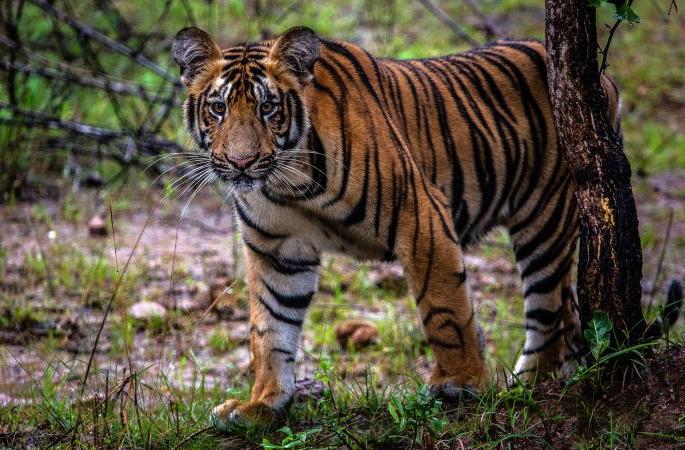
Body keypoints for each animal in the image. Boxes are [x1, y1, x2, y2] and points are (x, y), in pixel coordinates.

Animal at [171, 26, 621, 427]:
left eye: (268, 108)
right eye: (218, 108)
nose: (242, 162)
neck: (288, 183)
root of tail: (600, 78)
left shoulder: (421, 215)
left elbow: (445, 308)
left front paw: (460, 382)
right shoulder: (275, 248)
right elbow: (270, 328)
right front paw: (262, 404)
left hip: (545, 220)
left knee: (549, 315)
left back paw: (525, 389)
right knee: (568, 315)